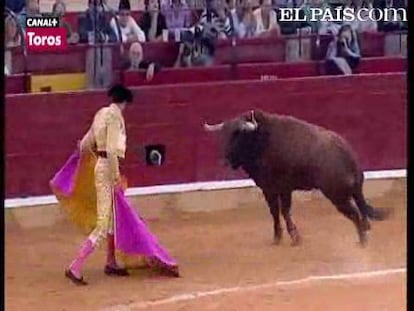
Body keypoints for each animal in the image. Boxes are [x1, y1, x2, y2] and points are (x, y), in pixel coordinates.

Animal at [205, 109, 392, 246]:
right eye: (223, 135)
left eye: (239, 134)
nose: (224, 161)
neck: (261, 139)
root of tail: (347, 153)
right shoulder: (275, 189)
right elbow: (277, 211)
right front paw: (280, 236)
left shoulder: (276, 187)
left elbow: (281, 210)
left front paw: (291, 237)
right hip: (355, 190)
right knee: (361, 209)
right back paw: (366, 230)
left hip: (337, 195)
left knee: (354, 213)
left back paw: (362, 240)